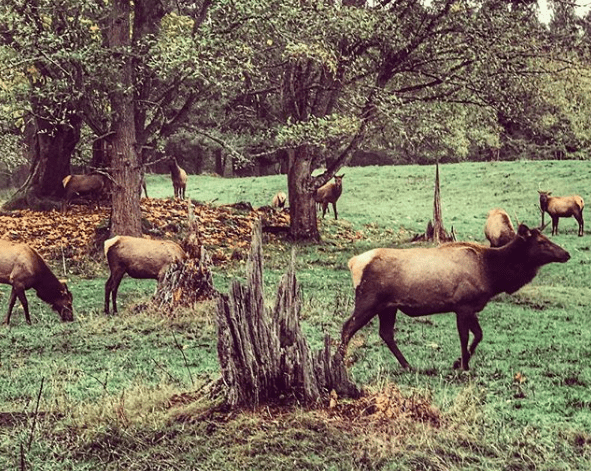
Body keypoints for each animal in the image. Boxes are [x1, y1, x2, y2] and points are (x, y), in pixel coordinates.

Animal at [340, 225, 572, 372]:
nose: (566, 254)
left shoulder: (469, 307)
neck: (492, 274)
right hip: (368, 300)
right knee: (348, 327)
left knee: (386, 333)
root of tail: (353, 262)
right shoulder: (463, 304)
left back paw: (408, 365)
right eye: (541, 241)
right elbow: (466, 336)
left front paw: (459, 361)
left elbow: (478, 335)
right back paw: (340, 361)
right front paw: (463, 365)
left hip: (388, 306)